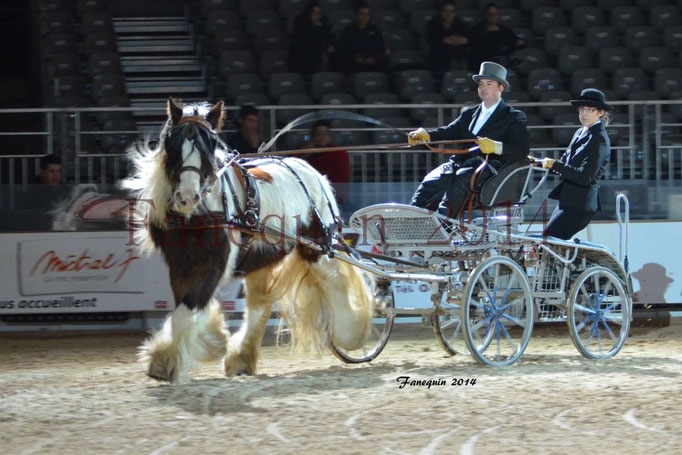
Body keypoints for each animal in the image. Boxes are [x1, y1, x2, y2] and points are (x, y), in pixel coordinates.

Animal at [122, 100, 372, 384]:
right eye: (173, 143)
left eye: (210, 145)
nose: (187, 197)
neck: (200, 214)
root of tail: (313, 172)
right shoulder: (180, 264)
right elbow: (188, 306)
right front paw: (208, 341)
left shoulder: (213, 263)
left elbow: (189, 307)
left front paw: (168, 359)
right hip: (261, 257)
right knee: (259, 305)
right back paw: (242, 357)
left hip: (318, 249)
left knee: (336, 284)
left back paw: (353, 334)